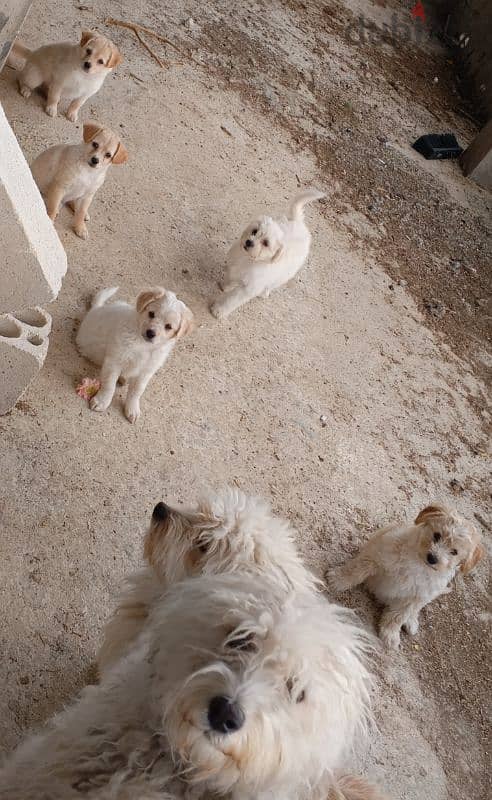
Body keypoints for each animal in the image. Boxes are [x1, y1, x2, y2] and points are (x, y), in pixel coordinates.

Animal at [76, 288, 195, 424]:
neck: (143, 344)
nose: (150, 333)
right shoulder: (115, 361)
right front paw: (102, 401)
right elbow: (109, 385)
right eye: (151, 314)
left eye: (168, 326)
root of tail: (95, 309)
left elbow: (137, 391)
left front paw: (132, 409)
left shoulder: (146, 371)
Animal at [209, 189, 324, 318]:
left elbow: (232, 301)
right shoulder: (235, 267)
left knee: (274, 283)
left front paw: (218, 310)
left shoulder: (248, 289)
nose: (249, 242)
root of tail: (298, 222)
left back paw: (265, 292)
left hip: (286, 274)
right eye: (254, 231)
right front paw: (226, 286)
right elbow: (231, 278)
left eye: (266, 243)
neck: (250, 259)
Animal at [326, 506, 484, 648]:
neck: (418, 563)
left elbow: (398, 617)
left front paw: (390, 634)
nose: (432, 558)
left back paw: (411, 622)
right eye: (437, 535)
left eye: (454, 552)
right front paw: (337, 580)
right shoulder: (376, 557)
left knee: (414, 611)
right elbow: (355, 570)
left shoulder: (415, 598)